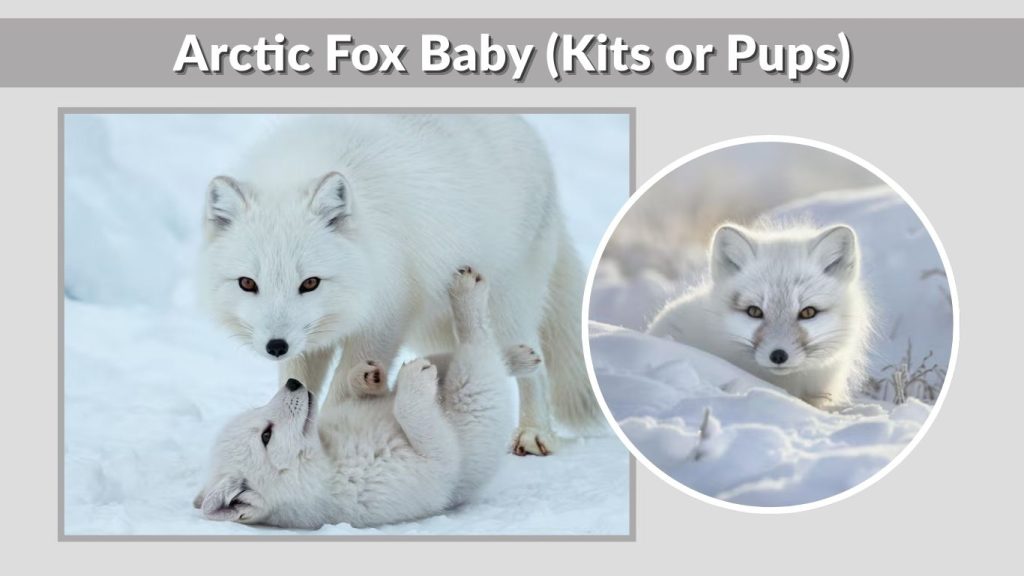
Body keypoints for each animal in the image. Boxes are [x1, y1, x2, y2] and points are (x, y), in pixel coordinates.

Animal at [194, 268, 539, 529]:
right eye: (266, 436)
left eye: (259, 409)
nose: (293, 383)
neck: (328, 455)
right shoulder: (431, 463)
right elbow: (419, 420)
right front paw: (414, 381)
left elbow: (372, 390)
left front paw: (368, 378)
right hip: (475, 390)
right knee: (476, 345)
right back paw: (467, 294)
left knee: (461, 354)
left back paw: (522, 356)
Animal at [199, 114, 603, 456]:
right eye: (248, 283)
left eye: (310, 283)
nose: (276, 346)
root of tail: (526, 127)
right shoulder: (309, 340)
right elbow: (297, 384)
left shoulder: (385, 318)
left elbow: (342, 391)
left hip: (508, 301)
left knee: (534, 364)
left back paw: (534, 432)